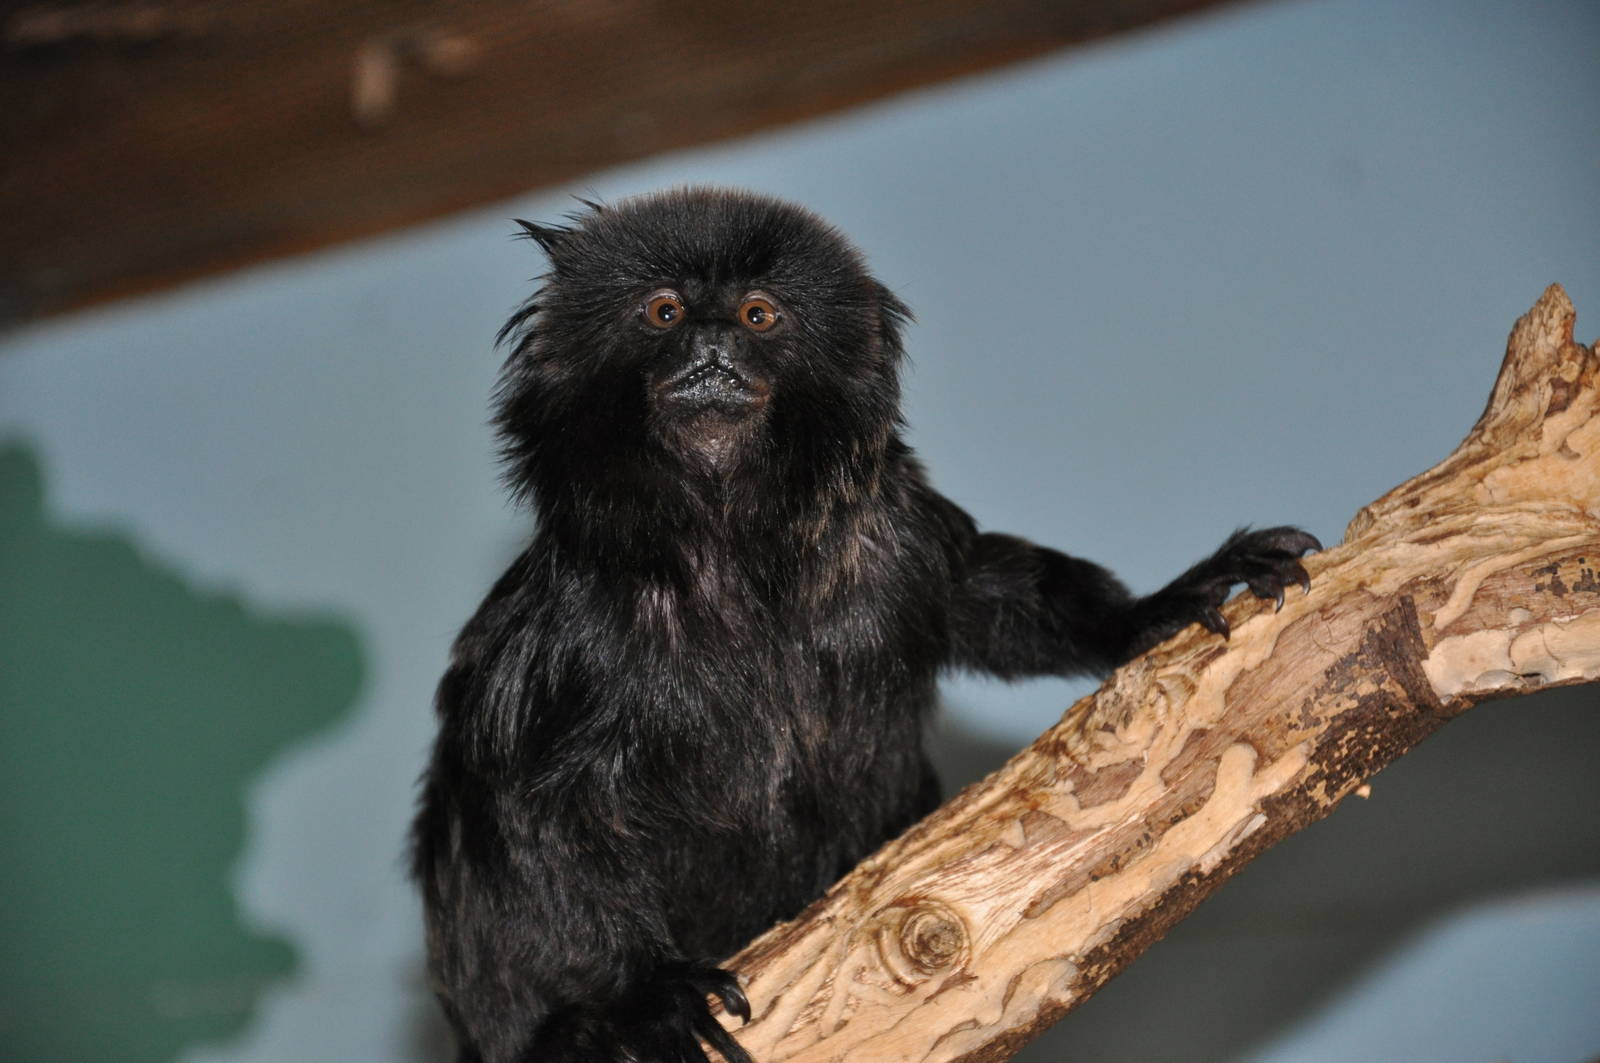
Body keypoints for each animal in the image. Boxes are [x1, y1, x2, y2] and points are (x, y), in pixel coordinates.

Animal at [410, 187, 1319, 1063]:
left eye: (758, 315)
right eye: (664, 312)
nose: (711, 342)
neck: (728, 545)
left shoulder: (890, 539)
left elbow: (988, 596)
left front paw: (1152, 608)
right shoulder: (574, 631)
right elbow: (535, 809)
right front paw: (641, 996)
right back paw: (565, 1031)